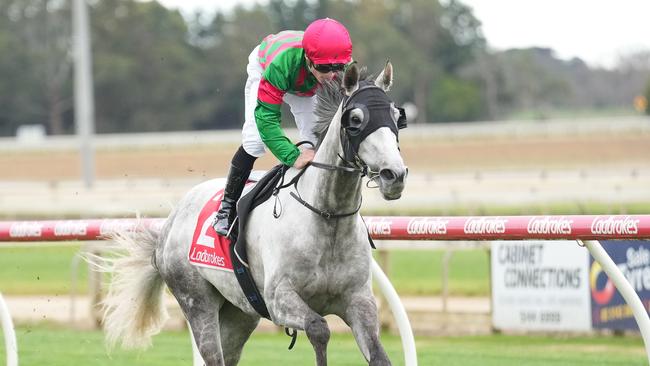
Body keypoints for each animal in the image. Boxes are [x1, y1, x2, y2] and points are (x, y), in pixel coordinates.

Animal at [98, 61, 404, 364]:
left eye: (396, 115)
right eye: (355, 119)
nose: (395, 175)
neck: (327, 218)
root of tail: (170, 223)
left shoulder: (358, 301)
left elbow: (378, 355)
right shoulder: (279, 299)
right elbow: (319, 329)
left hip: (240, 312)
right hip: (196, 301)